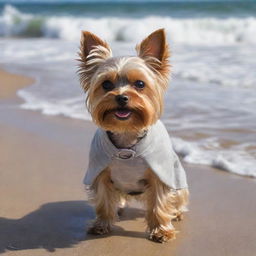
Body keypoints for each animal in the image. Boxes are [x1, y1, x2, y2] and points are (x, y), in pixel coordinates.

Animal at [77, 29, 188, 243]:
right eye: (106, 84)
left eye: (140, 84)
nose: (121, 97)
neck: (127, 132)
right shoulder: (99, 172)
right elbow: (103, 201)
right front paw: (101, 225)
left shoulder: (160, 174)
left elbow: (159, 203)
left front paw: (161, 231)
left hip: (179, 182)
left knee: (178, 198)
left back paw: (177, 213)